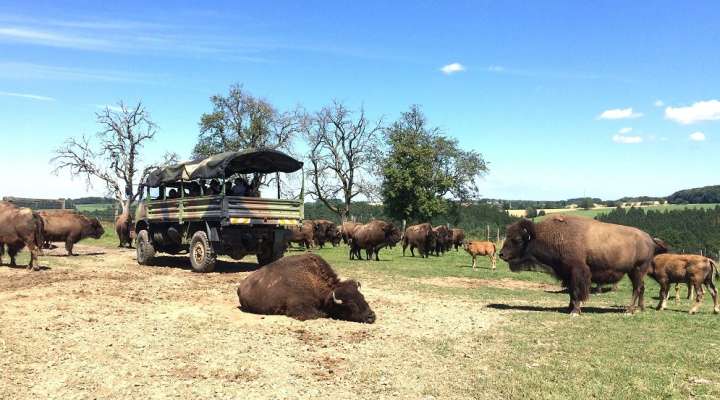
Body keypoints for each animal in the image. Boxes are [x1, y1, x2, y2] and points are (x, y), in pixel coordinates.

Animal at [498, 216, 668, 316]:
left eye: (517, 239)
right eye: (507, 236)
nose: (501, 254)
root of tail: (649, 238)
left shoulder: (577, 271)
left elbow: (576, 291)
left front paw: (575, 311)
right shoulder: (567, 273)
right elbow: (571, 292)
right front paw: (568, 308)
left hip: (637, 270)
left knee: (637, 288)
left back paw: (629, 310)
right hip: (636, 272)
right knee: (641, 288)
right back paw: (641, 308)